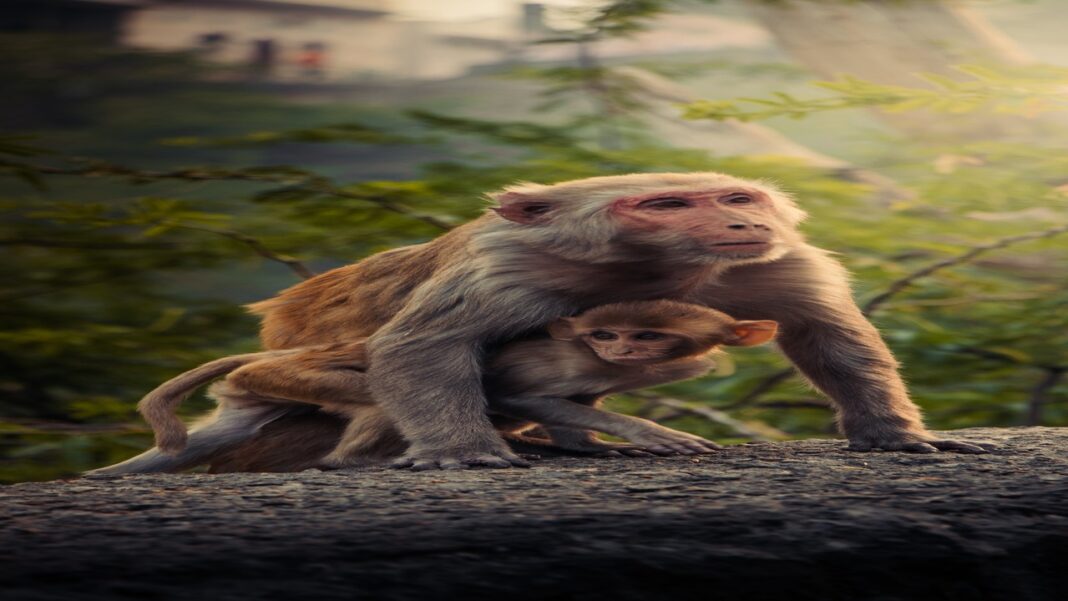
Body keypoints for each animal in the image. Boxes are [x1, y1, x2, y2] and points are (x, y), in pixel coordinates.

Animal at [89, 300, 776, 474]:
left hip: (249, 398)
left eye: (650, 335)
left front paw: (592, 444)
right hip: (291, 373)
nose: (621, 349)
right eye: (607, 332)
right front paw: (648, 432)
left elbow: (579, 411)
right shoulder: (558, 364)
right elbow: (518, 395)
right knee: (378, 394)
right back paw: (352, 462)